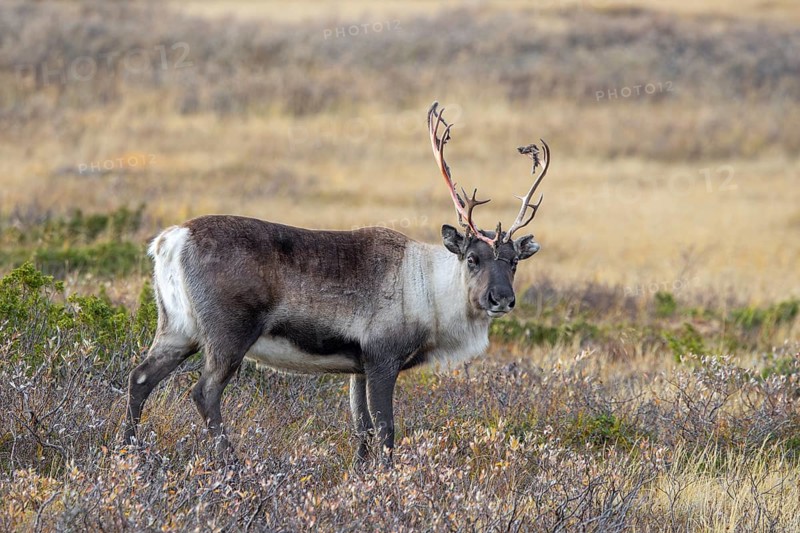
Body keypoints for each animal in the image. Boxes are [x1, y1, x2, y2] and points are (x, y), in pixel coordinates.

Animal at [124, 102, 551, 466]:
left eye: (514, 262)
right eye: (472, 258)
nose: (501, 298)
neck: (431, 293)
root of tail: (170, 239)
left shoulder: (358, 365)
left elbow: (361, 428)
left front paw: (360, 476)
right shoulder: (382, 358)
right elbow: (385, 429)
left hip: (178, 328)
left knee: (140, 377)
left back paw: (130, 453)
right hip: (228, 333)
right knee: (204, 392)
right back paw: (234, 464)